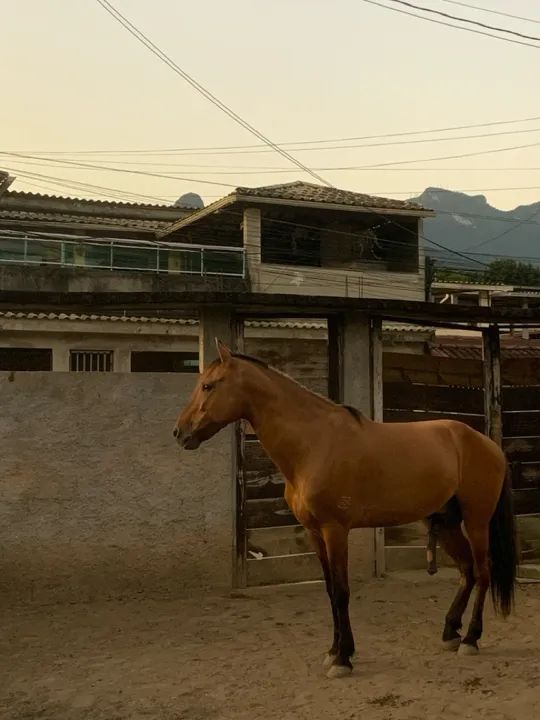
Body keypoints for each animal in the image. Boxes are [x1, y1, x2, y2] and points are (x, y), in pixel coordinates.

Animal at [173, 339, 517, 679]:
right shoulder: (314, 533)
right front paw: (333, 651)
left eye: (208, 386)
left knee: (483, 572)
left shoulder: (335, 530)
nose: (180, 433)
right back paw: (450, 632)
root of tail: (487, 444)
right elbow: (329, 590)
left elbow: (341, 591)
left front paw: (342, 659)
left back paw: (470, 639)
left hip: (477, 521)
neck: (314, 444)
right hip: (446, 523)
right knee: (466, 571)